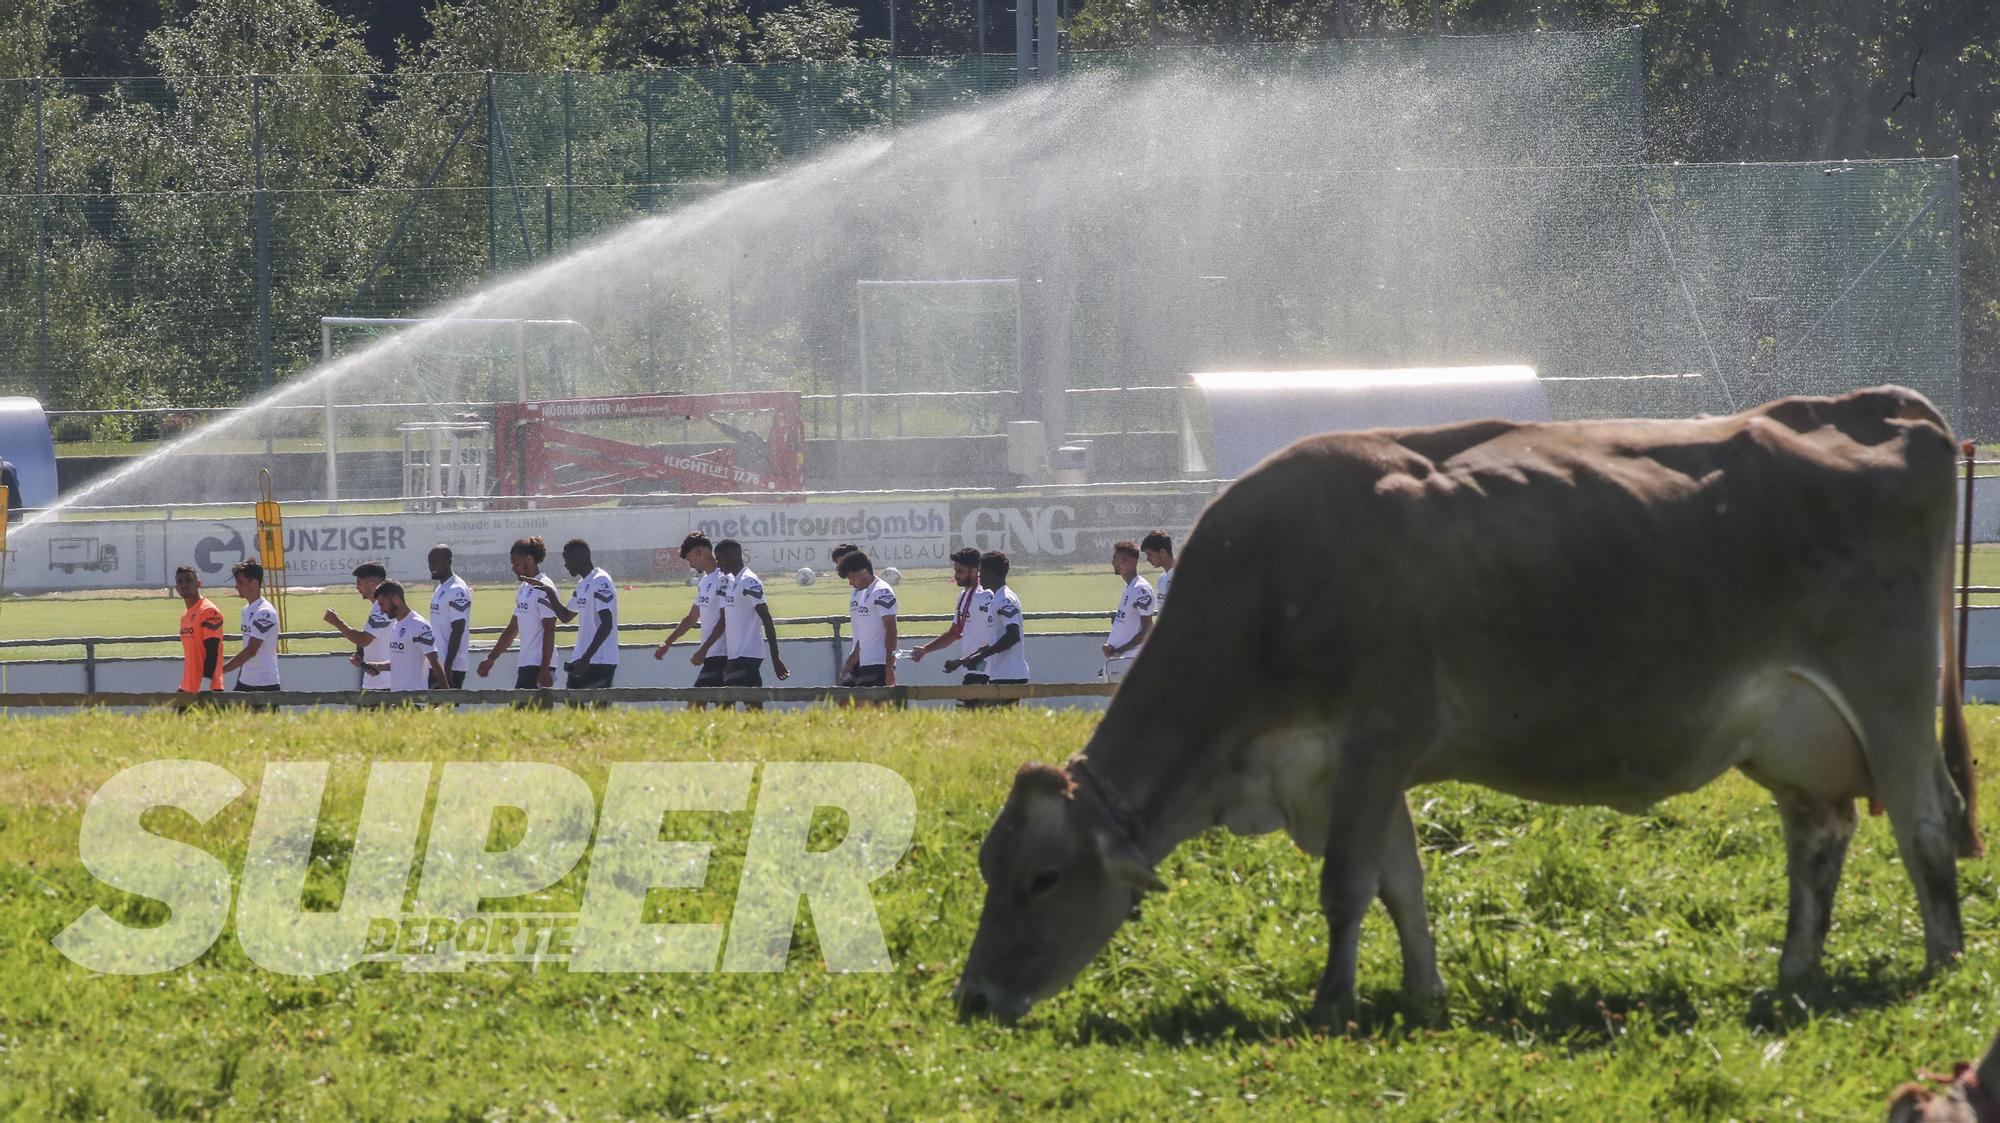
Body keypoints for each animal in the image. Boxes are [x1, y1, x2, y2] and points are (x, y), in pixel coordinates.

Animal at [960, 383, 1976, 1023]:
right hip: (1793, 735)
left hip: (1889, 697)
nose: (972, 999)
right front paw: (1423, 994)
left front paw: (1333, 1002)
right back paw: (1795, 972)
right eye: (986, 864)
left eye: (1042, 877)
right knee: (1819, 835)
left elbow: (1347, 885)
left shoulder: (1374, 740)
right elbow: (1402, 883)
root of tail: (1881, 406)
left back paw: (1942, 966)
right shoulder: (1358, 768)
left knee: (1924, 820)